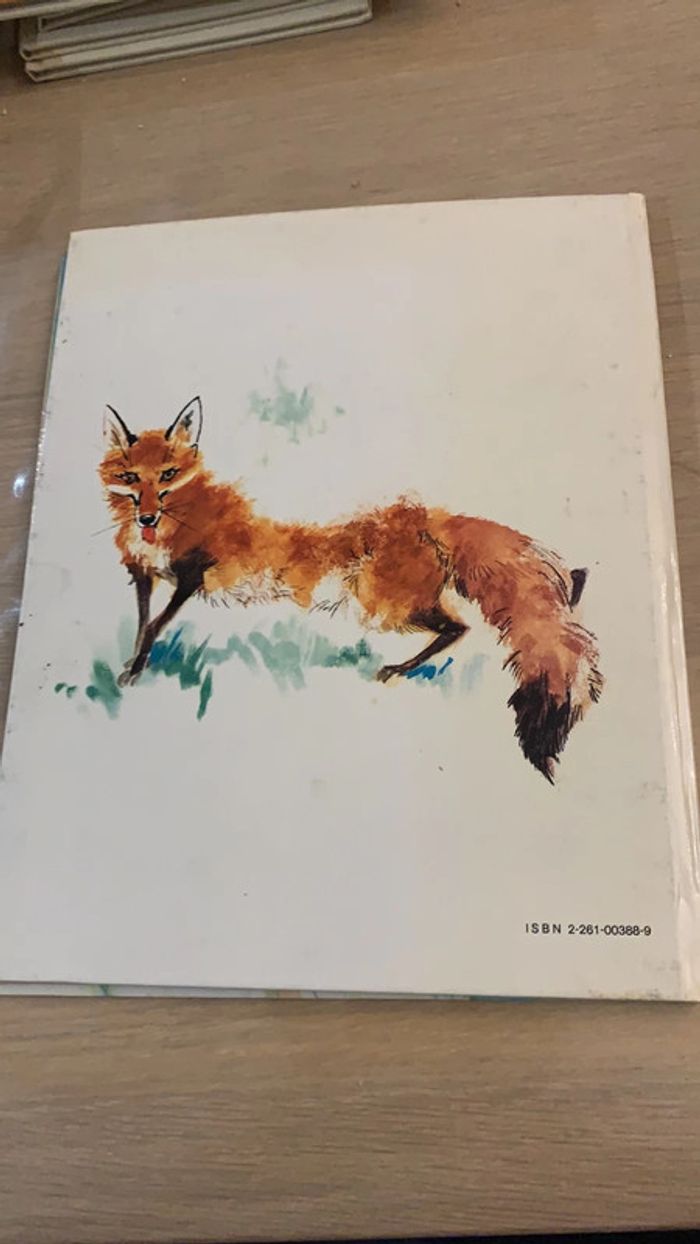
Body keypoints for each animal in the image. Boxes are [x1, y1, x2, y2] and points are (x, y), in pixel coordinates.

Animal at [100, 396, 603, 781]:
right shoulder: (144, 576)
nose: (146, 516)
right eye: (130, 478)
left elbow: (155, 626)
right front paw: (131, 666)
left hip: (383, 605)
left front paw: (134, 672)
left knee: (456, 627)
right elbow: (145, 622)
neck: (175, 519)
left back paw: (399, 669)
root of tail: (423, 517)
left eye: (168, 474)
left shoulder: (192, 574)